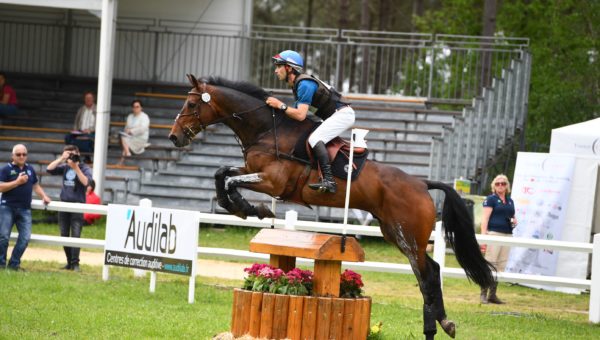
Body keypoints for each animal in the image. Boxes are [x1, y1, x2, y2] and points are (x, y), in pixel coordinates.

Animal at [168, 75, 492, 340]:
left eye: (192, 103)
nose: (174, 136)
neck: (267, 129)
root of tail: (422, 184)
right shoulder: (252, 171)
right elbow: (221, 173)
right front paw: (245, 208)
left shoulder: (272, 183)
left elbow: (230, 180)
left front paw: (250, 207)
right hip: (394, 232)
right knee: (433, 270)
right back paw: (439, 326)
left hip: (408, 236)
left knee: (426, 276)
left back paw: (440, 326)